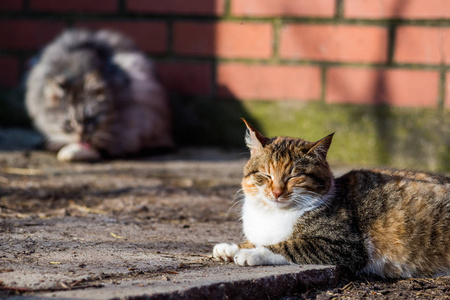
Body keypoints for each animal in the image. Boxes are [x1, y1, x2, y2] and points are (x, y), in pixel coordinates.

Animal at [214, 119, 450, 278]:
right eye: (266, 175)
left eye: (293, 176)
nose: (277, 192)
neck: (272, 214)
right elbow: (253, 240)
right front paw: (231, 247)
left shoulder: (346, 245)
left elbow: (288, 246)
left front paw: (251, 253)